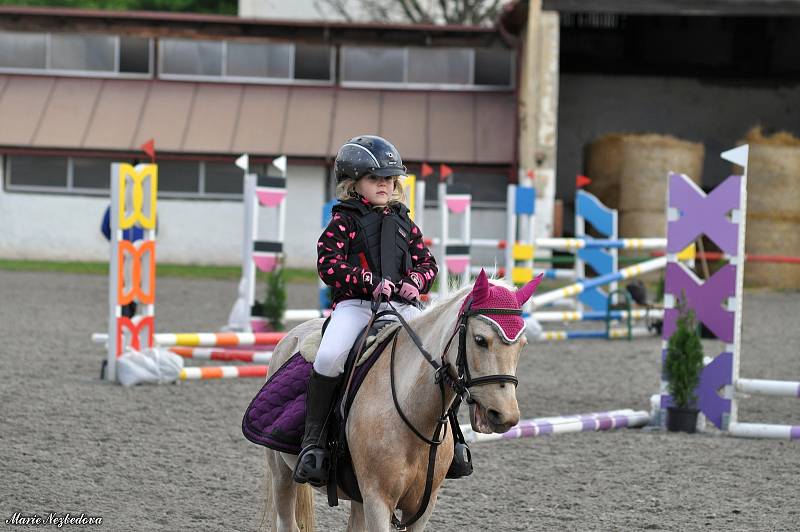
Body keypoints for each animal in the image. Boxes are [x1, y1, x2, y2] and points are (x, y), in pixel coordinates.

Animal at [262, 272, 544, 528]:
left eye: (523, 345)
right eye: (480, 340)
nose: (504, 416)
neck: (416, 417)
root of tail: (294, 333)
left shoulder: (423, 506)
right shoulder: (378, 502)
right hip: (281, 473)